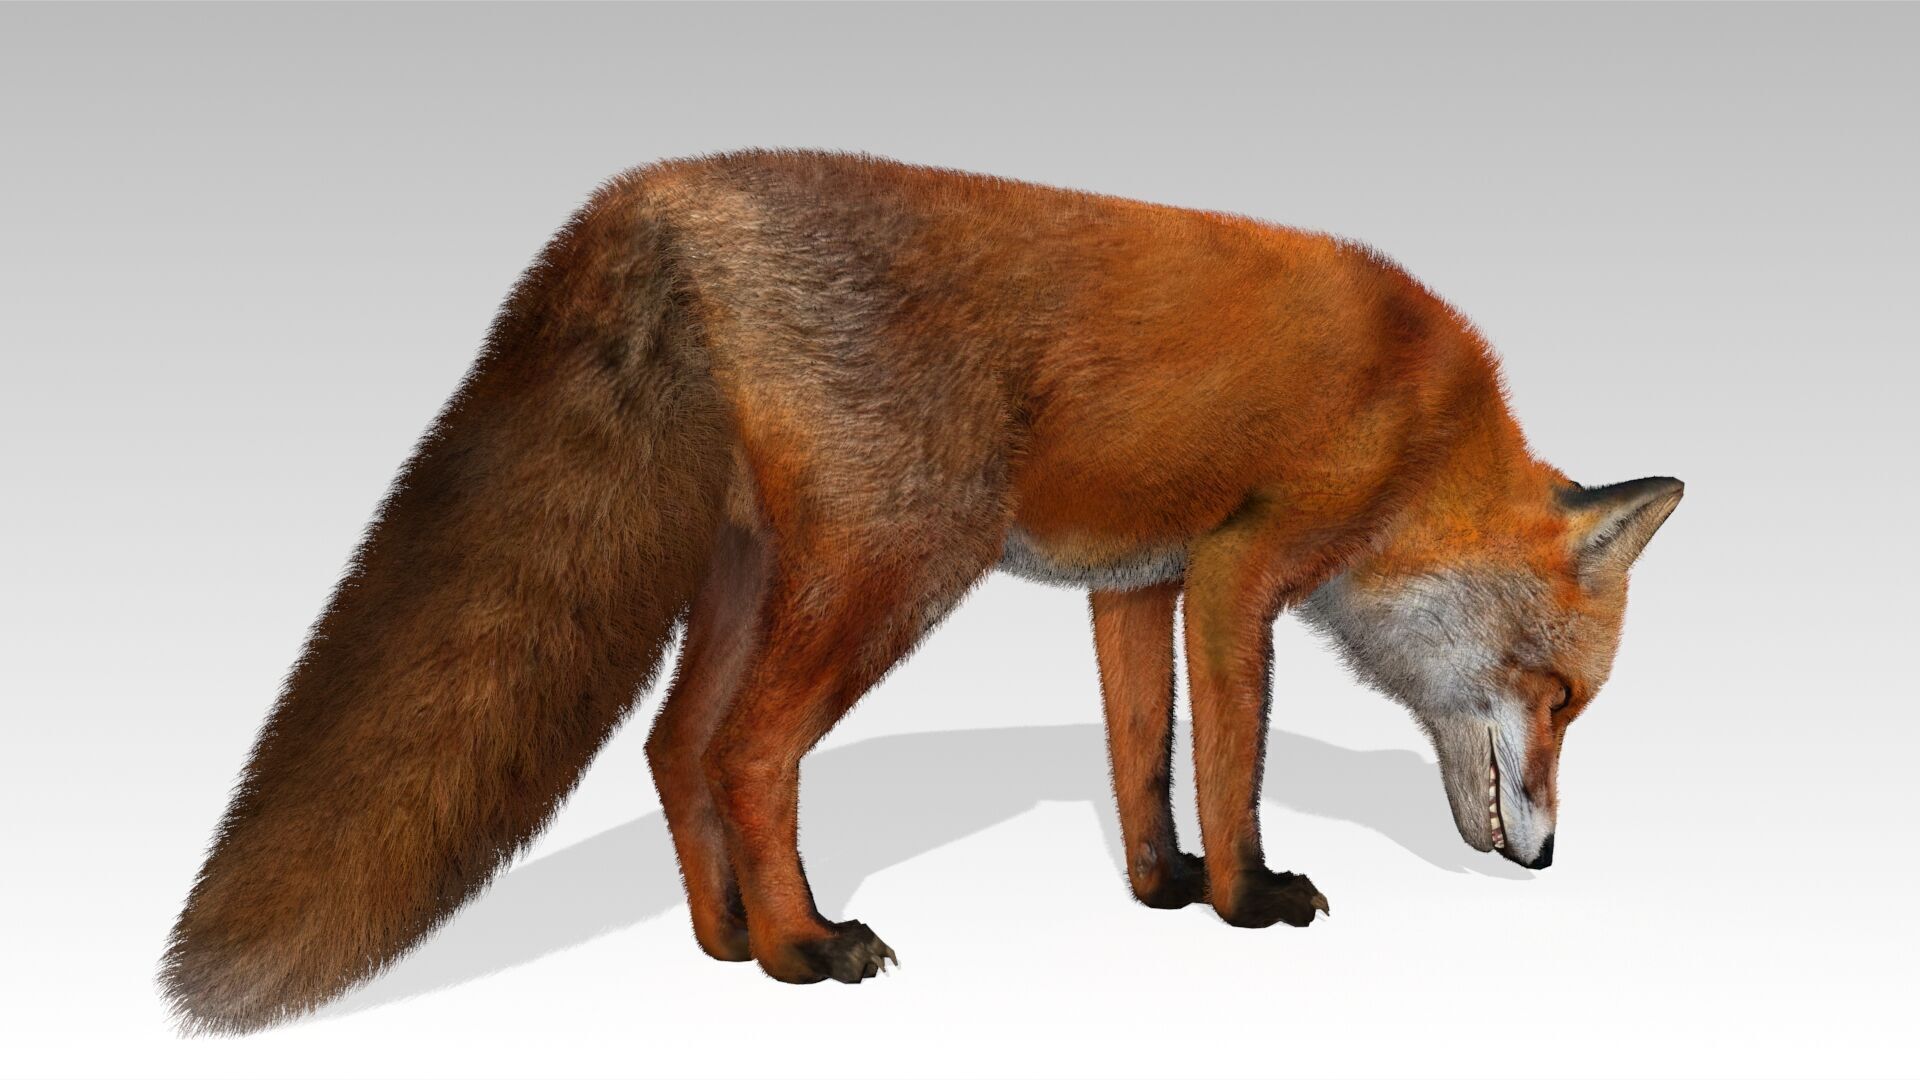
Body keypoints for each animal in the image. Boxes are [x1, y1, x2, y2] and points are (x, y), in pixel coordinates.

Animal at [162, 149, 1682, 1033]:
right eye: (1559, 699)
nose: (1549, 861)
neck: (1421, 431)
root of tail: (660, 193)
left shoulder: (1137, 584)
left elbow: (1144, 757)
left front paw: (1162, 887)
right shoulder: (1238, 570)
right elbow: (1230, 760)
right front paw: (1245, 901)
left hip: (759, 576)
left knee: (673, 745)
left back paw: (724, 940)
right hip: (896, 565)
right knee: (746, 749)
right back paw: (800, 949)